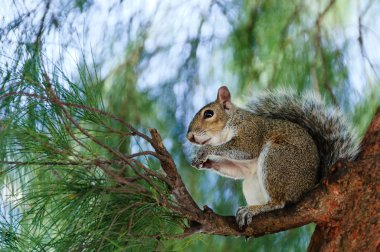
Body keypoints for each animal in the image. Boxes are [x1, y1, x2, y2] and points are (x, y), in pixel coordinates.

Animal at [187, 85, 360, 228]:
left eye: (209, 113)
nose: (189, 137)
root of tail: (310, 186)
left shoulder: (250, 131)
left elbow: (245, 148)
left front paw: (205, 150)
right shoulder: (244, 167)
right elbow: (238, 169)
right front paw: (203, 163)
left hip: (276, 159)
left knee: (279, 202)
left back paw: (255, 209)